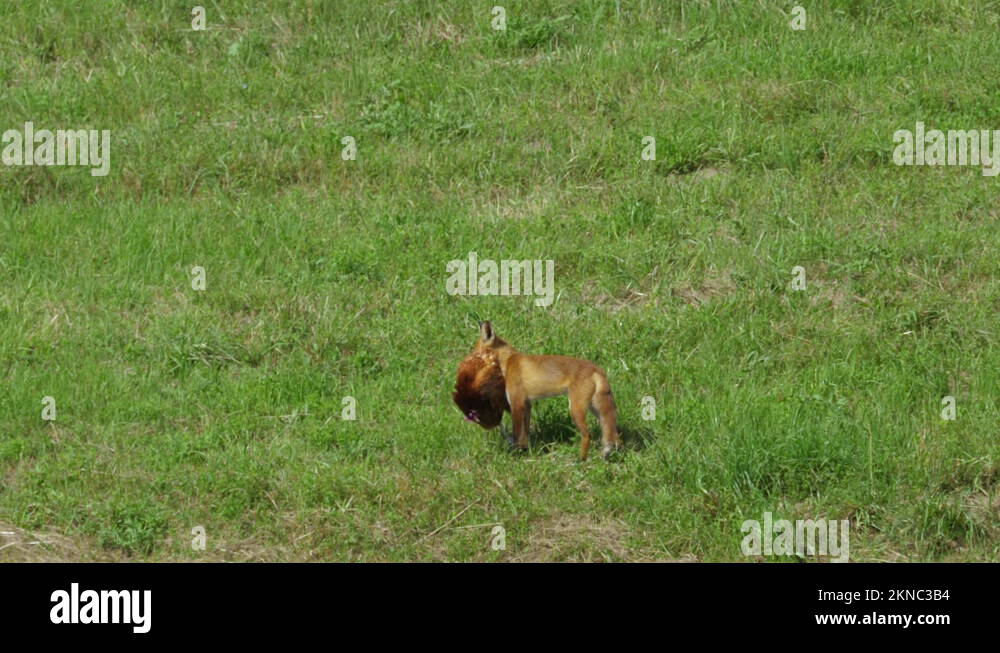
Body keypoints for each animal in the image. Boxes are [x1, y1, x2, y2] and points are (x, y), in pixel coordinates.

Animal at [465, 321, 622, 461]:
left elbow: (516, 433)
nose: (466, 363)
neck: (508, 361)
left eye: (476, 353)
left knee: (587, 436)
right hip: (595, 409)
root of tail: (597, 369)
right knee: (614, 433)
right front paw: (526, 450)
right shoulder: (527, 404)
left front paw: (516, 454)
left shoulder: (517, 403)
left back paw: (581, 460)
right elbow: (526, 432)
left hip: (575, 409)